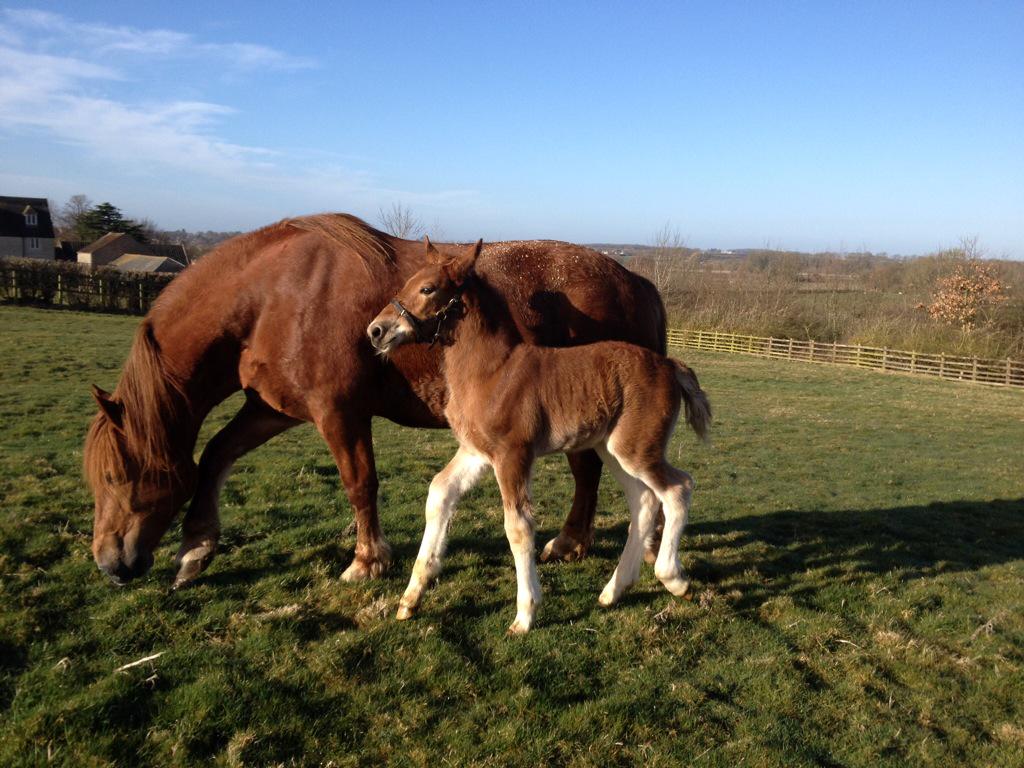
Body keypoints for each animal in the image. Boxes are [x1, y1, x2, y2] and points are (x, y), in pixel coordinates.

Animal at [84, 214, 668, 588]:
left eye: (115, 477)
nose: (110, 563)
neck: (273, 296)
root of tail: (636, 281)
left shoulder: (339, 412)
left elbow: (359, 483)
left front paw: (367, 561)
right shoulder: (271, 409)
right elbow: (215, 456)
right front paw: (195, 550)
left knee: (588, 475)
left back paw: (569, 543)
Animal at [367, 239, 711, 633]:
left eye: (427, 289)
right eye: (407, 283)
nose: (376, 330)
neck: (492, 371)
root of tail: (671, 365)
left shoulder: (512, 454)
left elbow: (518, 527)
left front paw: (525, 614)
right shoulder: (475, 452)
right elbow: (439, 493)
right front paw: (411, 598)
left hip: (637, 449)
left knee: (678, 488)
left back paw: (674, 579)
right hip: (612, 450)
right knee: (644, 501)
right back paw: (613, 591)